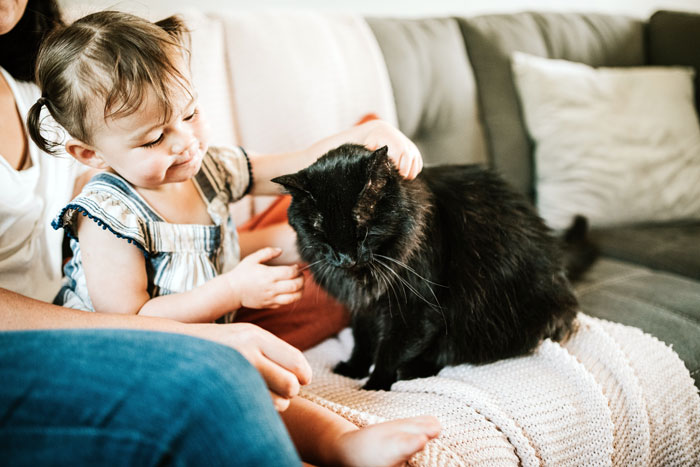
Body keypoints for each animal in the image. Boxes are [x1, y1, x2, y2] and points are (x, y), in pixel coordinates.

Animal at [274, 144, 584, 394]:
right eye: (321, 233)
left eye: (362, 231)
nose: (344, 258)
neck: (362, 278)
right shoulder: (364, 308)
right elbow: (363, 340)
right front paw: (354, 368)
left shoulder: (415, 309)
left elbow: (389, 350)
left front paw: (376, 385)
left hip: (482, 319)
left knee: (454, 352)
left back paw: (411, 370)